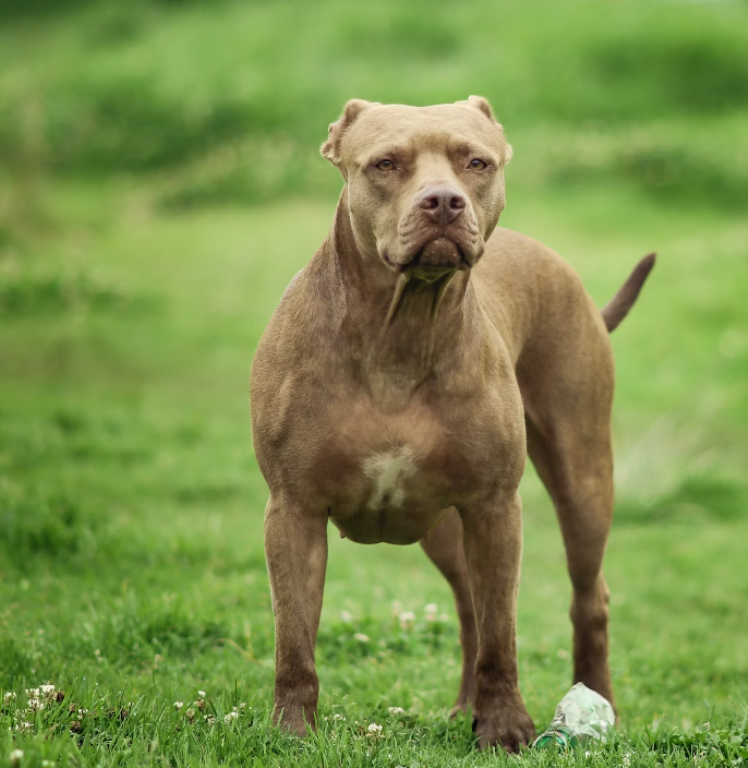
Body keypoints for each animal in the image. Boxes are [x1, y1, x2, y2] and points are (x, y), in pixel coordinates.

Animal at [248, 96, 652, 752]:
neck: (402, 329)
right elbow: (295, 639)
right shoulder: (292, 510)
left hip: (583, 477)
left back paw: (597, 703)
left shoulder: (495, 507)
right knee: (467, 608)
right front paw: (291, 734)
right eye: (385, 164)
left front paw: (507, 727)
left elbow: (502, 633)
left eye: (476, 162)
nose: (443, 201)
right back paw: (466, 707)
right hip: (444, 525)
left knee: (584, 598)